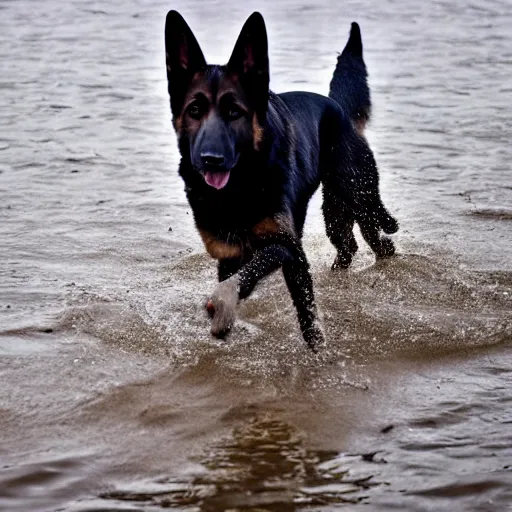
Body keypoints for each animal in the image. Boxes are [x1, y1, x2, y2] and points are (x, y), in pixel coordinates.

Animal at [166, 11, 398, 352]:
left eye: (235, 112)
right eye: (194, 111)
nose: (211, 159)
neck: (237, 189)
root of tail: (338, 107)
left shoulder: (289, 248)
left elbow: (301, 310)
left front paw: (318, 354)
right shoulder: (228, 252)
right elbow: (240, 278)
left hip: (361, 195)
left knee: (381, 236)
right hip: (336, 213)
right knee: (352, 244)